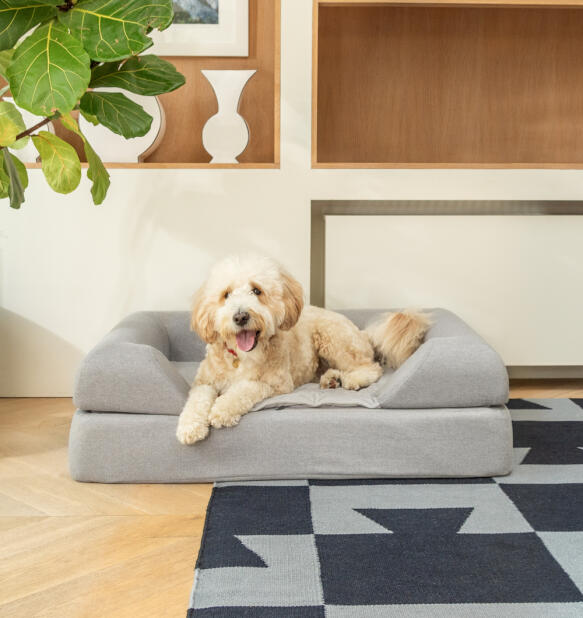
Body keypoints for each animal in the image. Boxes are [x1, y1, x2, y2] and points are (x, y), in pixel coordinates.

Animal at [176, 255, 432, 442]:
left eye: (257, 291)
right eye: (225, 295)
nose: (240, 316)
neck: (242, 356)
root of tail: (362, 333)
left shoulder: (277, 384)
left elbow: (244, 389)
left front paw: (222, 410)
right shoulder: (205, 382)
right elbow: (196, 399)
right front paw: (189, 427)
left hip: (332, 337)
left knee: (370, 367)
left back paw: (352, 380)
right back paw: (332, 379)